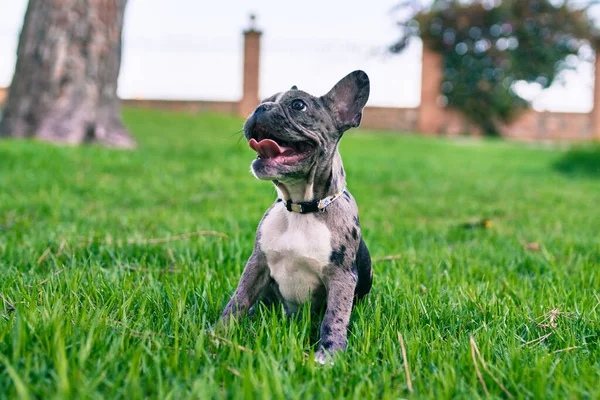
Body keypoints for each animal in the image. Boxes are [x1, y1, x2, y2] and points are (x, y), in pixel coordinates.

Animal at [221, 70, 370, 364]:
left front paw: (329, 353)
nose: (260, 108)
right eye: (264, 101)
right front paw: (217, 333)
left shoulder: (341, 278)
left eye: (298, 105)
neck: (302, 206)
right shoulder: (257, 263)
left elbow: (334, 317)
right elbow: (239, 299)